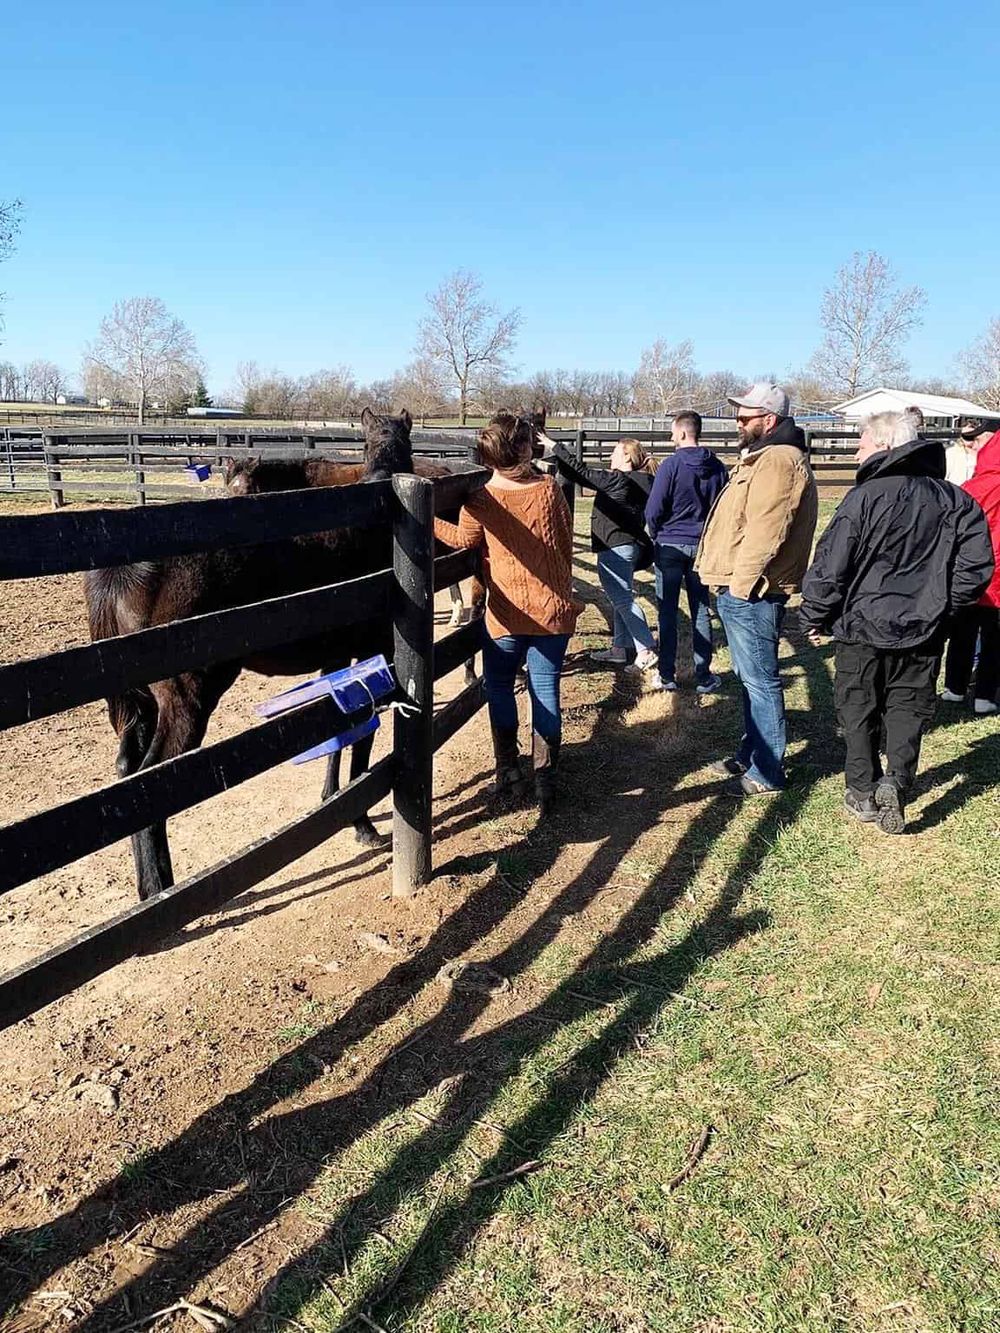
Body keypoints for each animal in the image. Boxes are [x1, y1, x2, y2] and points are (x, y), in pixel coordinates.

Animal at [85, 408, 419, 902]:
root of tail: (124, 569)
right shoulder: (377, 653)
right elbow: (362, 736)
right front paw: (363, 824)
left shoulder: (339, 659)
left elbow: (341, 730)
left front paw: (337, 803)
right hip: (185, 701)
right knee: (151, 783)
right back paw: (162, 887)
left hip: (143, 702)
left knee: (127, 774)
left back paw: (150, 886)